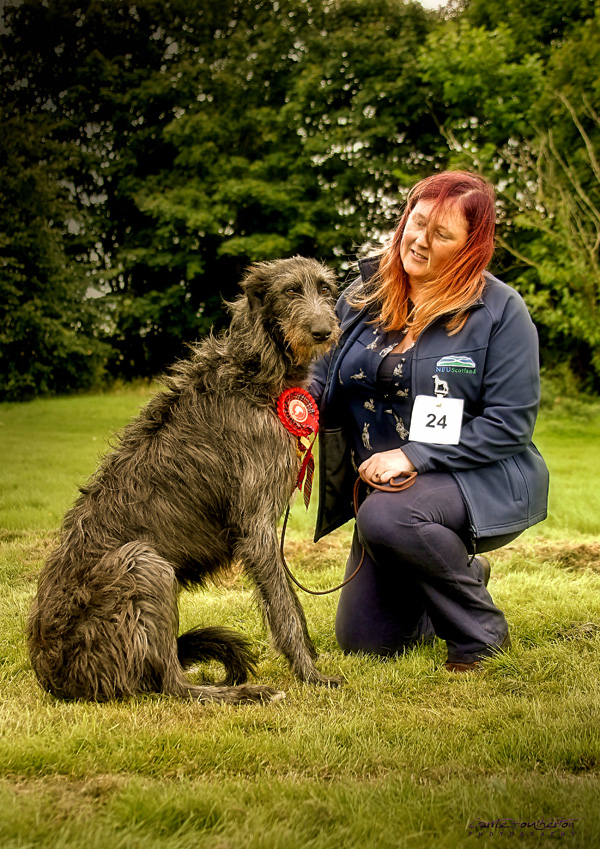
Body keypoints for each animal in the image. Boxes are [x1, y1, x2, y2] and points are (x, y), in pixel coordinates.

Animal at [27, 256, 342, 704]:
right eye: (290, 291)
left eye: (325, 288)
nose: (323, 331)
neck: (252, 374)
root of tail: (51, 672)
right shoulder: (256, 524)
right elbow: (284, 607)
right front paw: (310, 674)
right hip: (144, 565)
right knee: (172, 684)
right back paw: (244, 692)